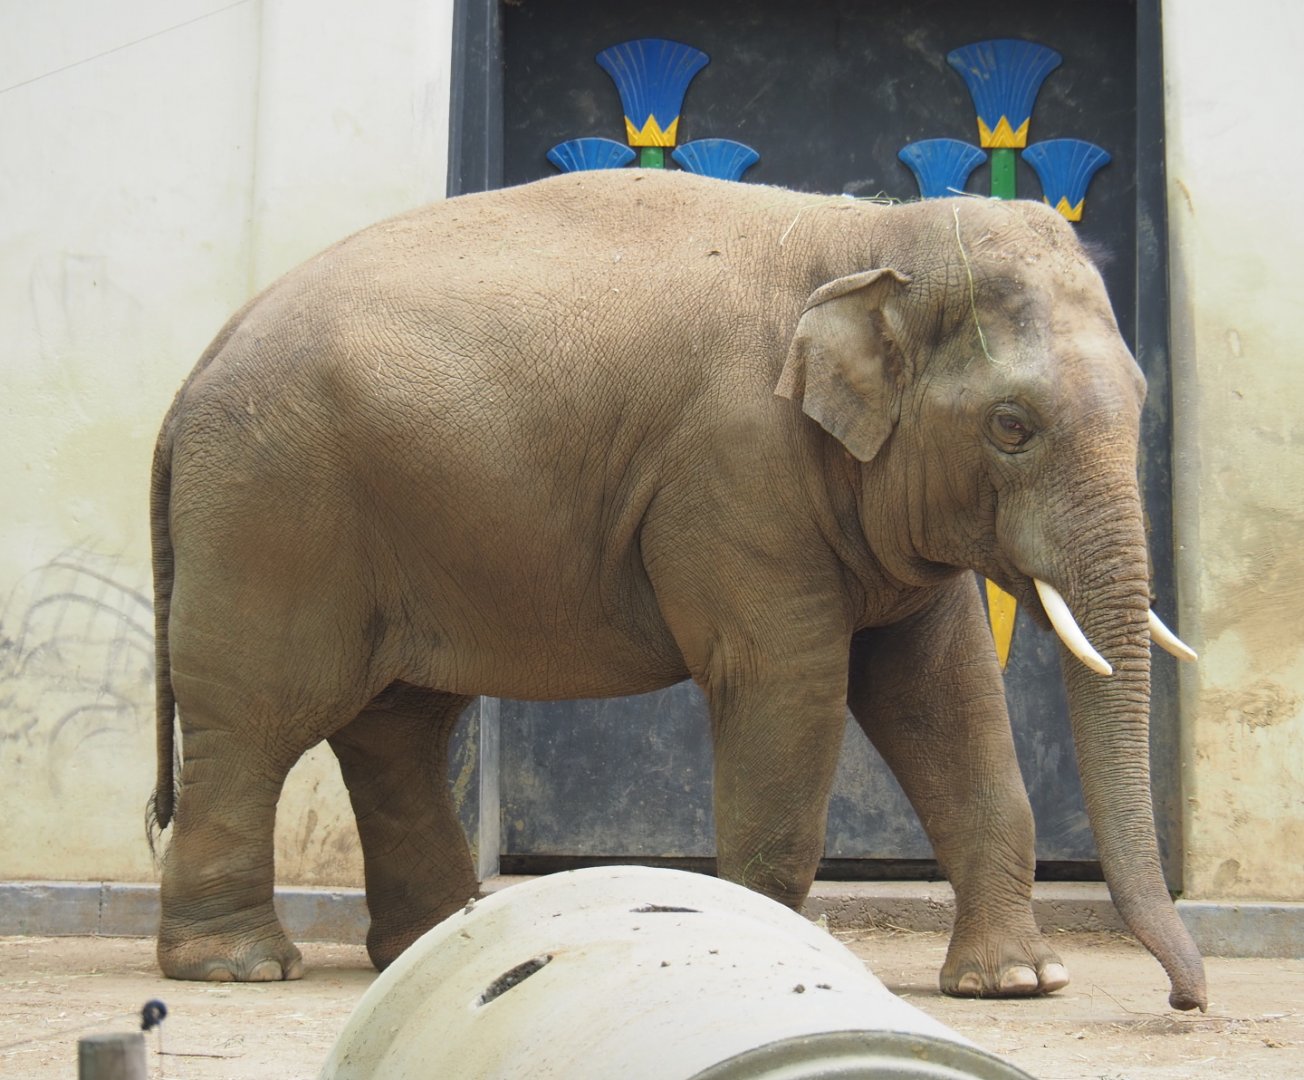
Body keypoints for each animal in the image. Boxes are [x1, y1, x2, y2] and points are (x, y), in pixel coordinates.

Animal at [149, 168, 1205, 1010]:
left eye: (1145, 402)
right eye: (1012, 427)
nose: (1184, 1002)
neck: (871, 240)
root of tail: (198, 365)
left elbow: (945, 695)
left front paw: (1018, 983)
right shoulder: (735, 470)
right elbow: (789, 684)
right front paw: (777, 959)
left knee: (396, 726)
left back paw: (428, 951)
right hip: (271, 509)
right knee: (259, 720)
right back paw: (238, 965)